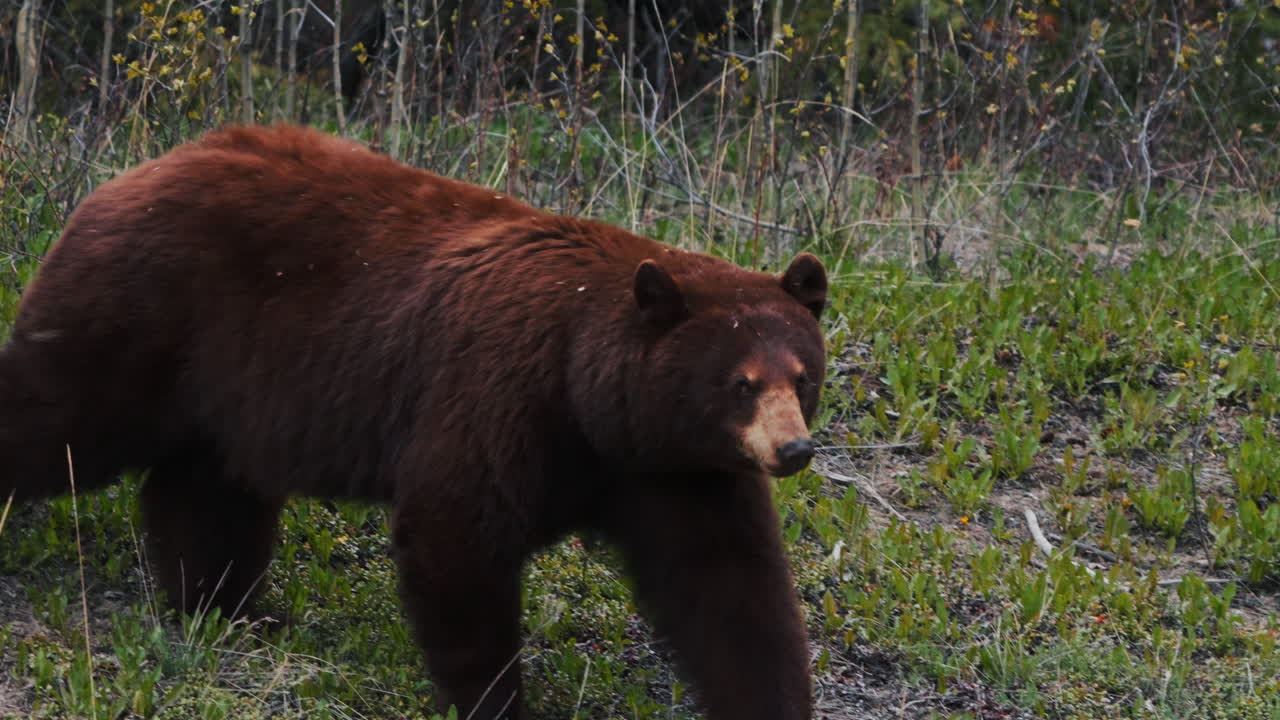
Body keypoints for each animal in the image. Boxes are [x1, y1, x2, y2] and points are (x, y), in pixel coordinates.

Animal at [0, 124, 828, 720]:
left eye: (802, 376)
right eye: (742, 383)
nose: (793, 449)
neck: (590, 396)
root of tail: (132, 172)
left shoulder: (676, 468)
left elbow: (729, 586)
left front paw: (771, 699)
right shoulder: (504, 395)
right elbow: (456, 531)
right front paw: (496, 701)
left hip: (226, 384)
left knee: (206, 490)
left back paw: (227, 609)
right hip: (141, 315)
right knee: (57, 417)